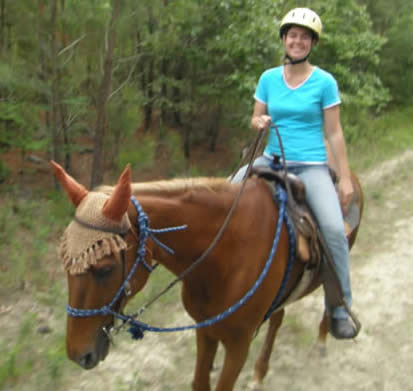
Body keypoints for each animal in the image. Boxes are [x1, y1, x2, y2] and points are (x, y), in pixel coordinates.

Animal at [51, 161, 360, 390]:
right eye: (66, 264)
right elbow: (200, 382)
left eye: (105, 268)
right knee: (278, 317)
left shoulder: (239, 344)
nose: (78, 354)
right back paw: (259, 373)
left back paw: (324, 338)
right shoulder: (205, 329)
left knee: (334, 292)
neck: (223, 256)